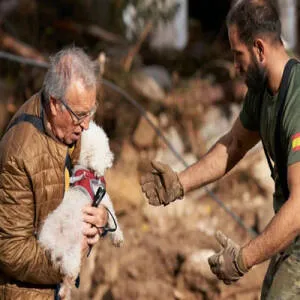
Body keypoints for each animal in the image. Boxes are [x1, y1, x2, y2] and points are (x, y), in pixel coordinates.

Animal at [38, 120, 123, 298]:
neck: (86, 169)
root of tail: (53, 243)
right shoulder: (104, 198)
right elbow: (113, 218)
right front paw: (118, 237)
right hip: (74, 251)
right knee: (70, 273)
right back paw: (65, 291)